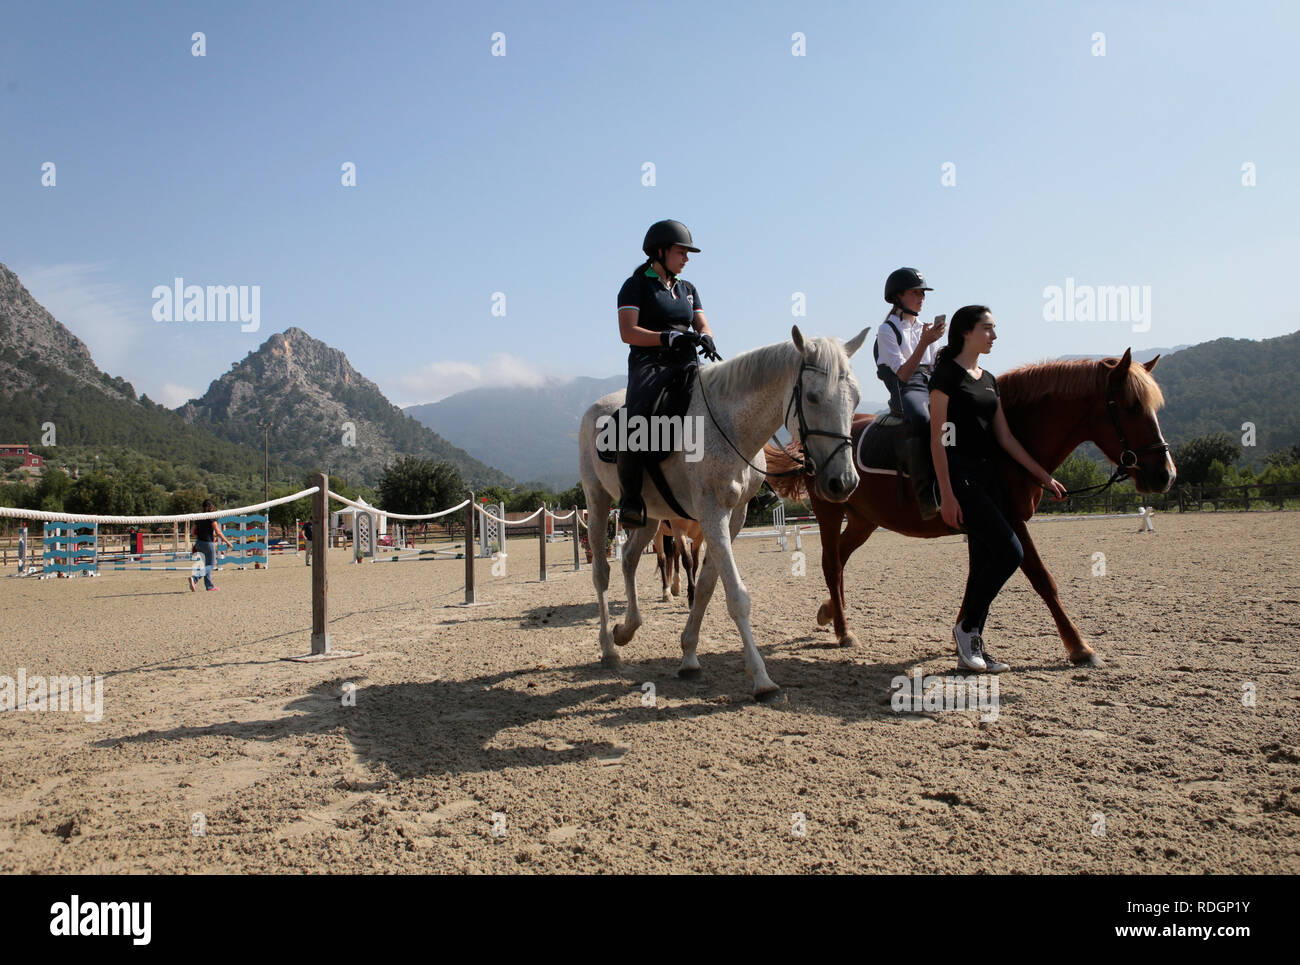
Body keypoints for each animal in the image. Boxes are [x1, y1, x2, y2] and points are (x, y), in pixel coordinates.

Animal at [577, 326, 863, 702]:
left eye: (856, 399)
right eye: (813, 397)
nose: (843, 482)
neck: (729, 425)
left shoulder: (734, 517)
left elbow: (707, 587)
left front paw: (688, 657)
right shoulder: (712, 513)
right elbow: (737, 596)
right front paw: (762, 680)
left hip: (649, 516)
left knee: (628, 559)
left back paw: (626, 629)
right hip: (596, 501)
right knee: (601, 574)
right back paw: (609, 649)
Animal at [759, 351, 1180, 671]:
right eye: (1131, 407)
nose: (1165, 474)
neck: (997, 441)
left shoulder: (982, 527)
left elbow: (977, 581)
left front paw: (963, 638)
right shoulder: (1006, 522)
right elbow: (1041, 579)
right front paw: (1079, 647)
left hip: (864, 520)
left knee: (841, 561)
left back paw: (831, 613)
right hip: (831, 512)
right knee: (832, 564)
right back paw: (843, 630)